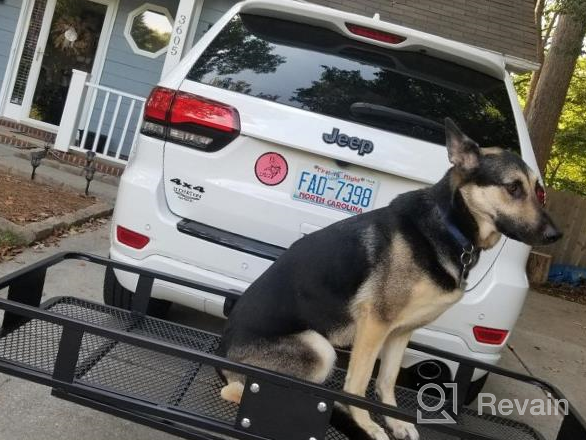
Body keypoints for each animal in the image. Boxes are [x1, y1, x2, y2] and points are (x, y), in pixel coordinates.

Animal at [216, 118, 560, 440]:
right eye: (513, 188)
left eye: (538, 191)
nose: (556, 235)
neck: (449, 225)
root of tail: (222, 356)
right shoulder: (375, 325)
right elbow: (357, 385)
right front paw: (367, 425)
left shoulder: (400, 332)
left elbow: (386, 381)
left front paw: (395, 422)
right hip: (319, 348)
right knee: (241, 390)